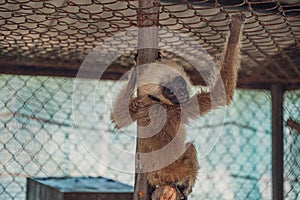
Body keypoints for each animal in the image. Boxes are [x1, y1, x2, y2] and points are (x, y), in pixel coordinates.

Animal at [112, 14, 244, 200]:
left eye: (179, 84)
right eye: (169, 91)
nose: (181, 93)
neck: (158, 103)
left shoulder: (141, 107)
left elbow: (119, 116)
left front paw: (137, 67)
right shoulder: (179, 109)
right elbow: (220, 94)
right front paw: (235, 31)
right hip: (178, 171)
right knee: (190, 147)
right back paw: (183, 188)